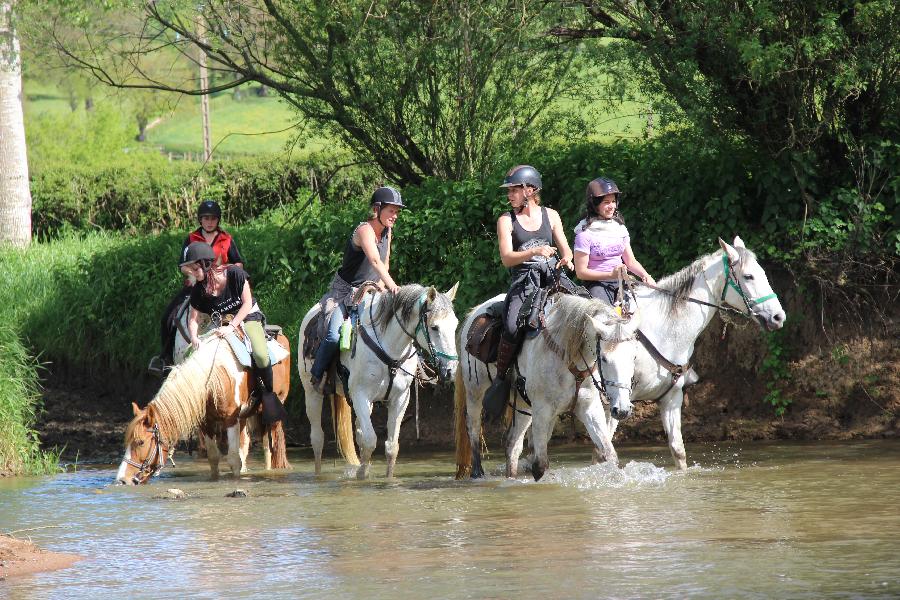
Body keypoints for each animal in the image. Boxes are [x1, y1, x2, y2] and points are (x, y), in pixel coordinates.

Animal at [116, 336, 290, 486]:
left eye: (140, 442)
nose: (123, 480)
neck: (213, 380)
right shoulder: (207, 423)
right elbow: (214, 458)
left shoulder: (231, 420)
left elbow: (233, 460)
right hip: (244, 417)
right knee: (245, 446)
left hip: (269, 413)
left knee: (268, 449)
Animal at [300, 284, 460, 480]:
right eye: (434, 327)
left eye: (455, 325)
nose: (451, 370)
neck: (389, 348)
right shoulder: (360, 395)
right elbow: (370, 441)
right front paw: (362, 476)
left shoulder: (400, 399)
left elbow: (391, 446)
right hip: (311, 393)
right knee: (317, 439)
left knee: (358, 434)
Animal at [458, 292, 640, 480]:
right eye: (603, 358)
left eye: (634, 356)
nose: (622, 410)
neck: (569, 358)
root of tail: (475, 312)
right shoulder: (542, 410)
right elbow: (540, 466)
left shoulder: (589, 408)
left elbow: (609, 454)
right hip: (475, 392)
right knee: (473, 427)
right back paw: (477, 472)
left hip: (523, 405)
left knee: (513, 445)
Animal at [596, 236, 788, 468]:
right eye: (748, 276)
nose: (778, 316)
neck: (662, 331)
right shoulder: (612, 403)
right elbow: (604, 454)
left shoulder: (671, 398)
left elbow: (678, 451)